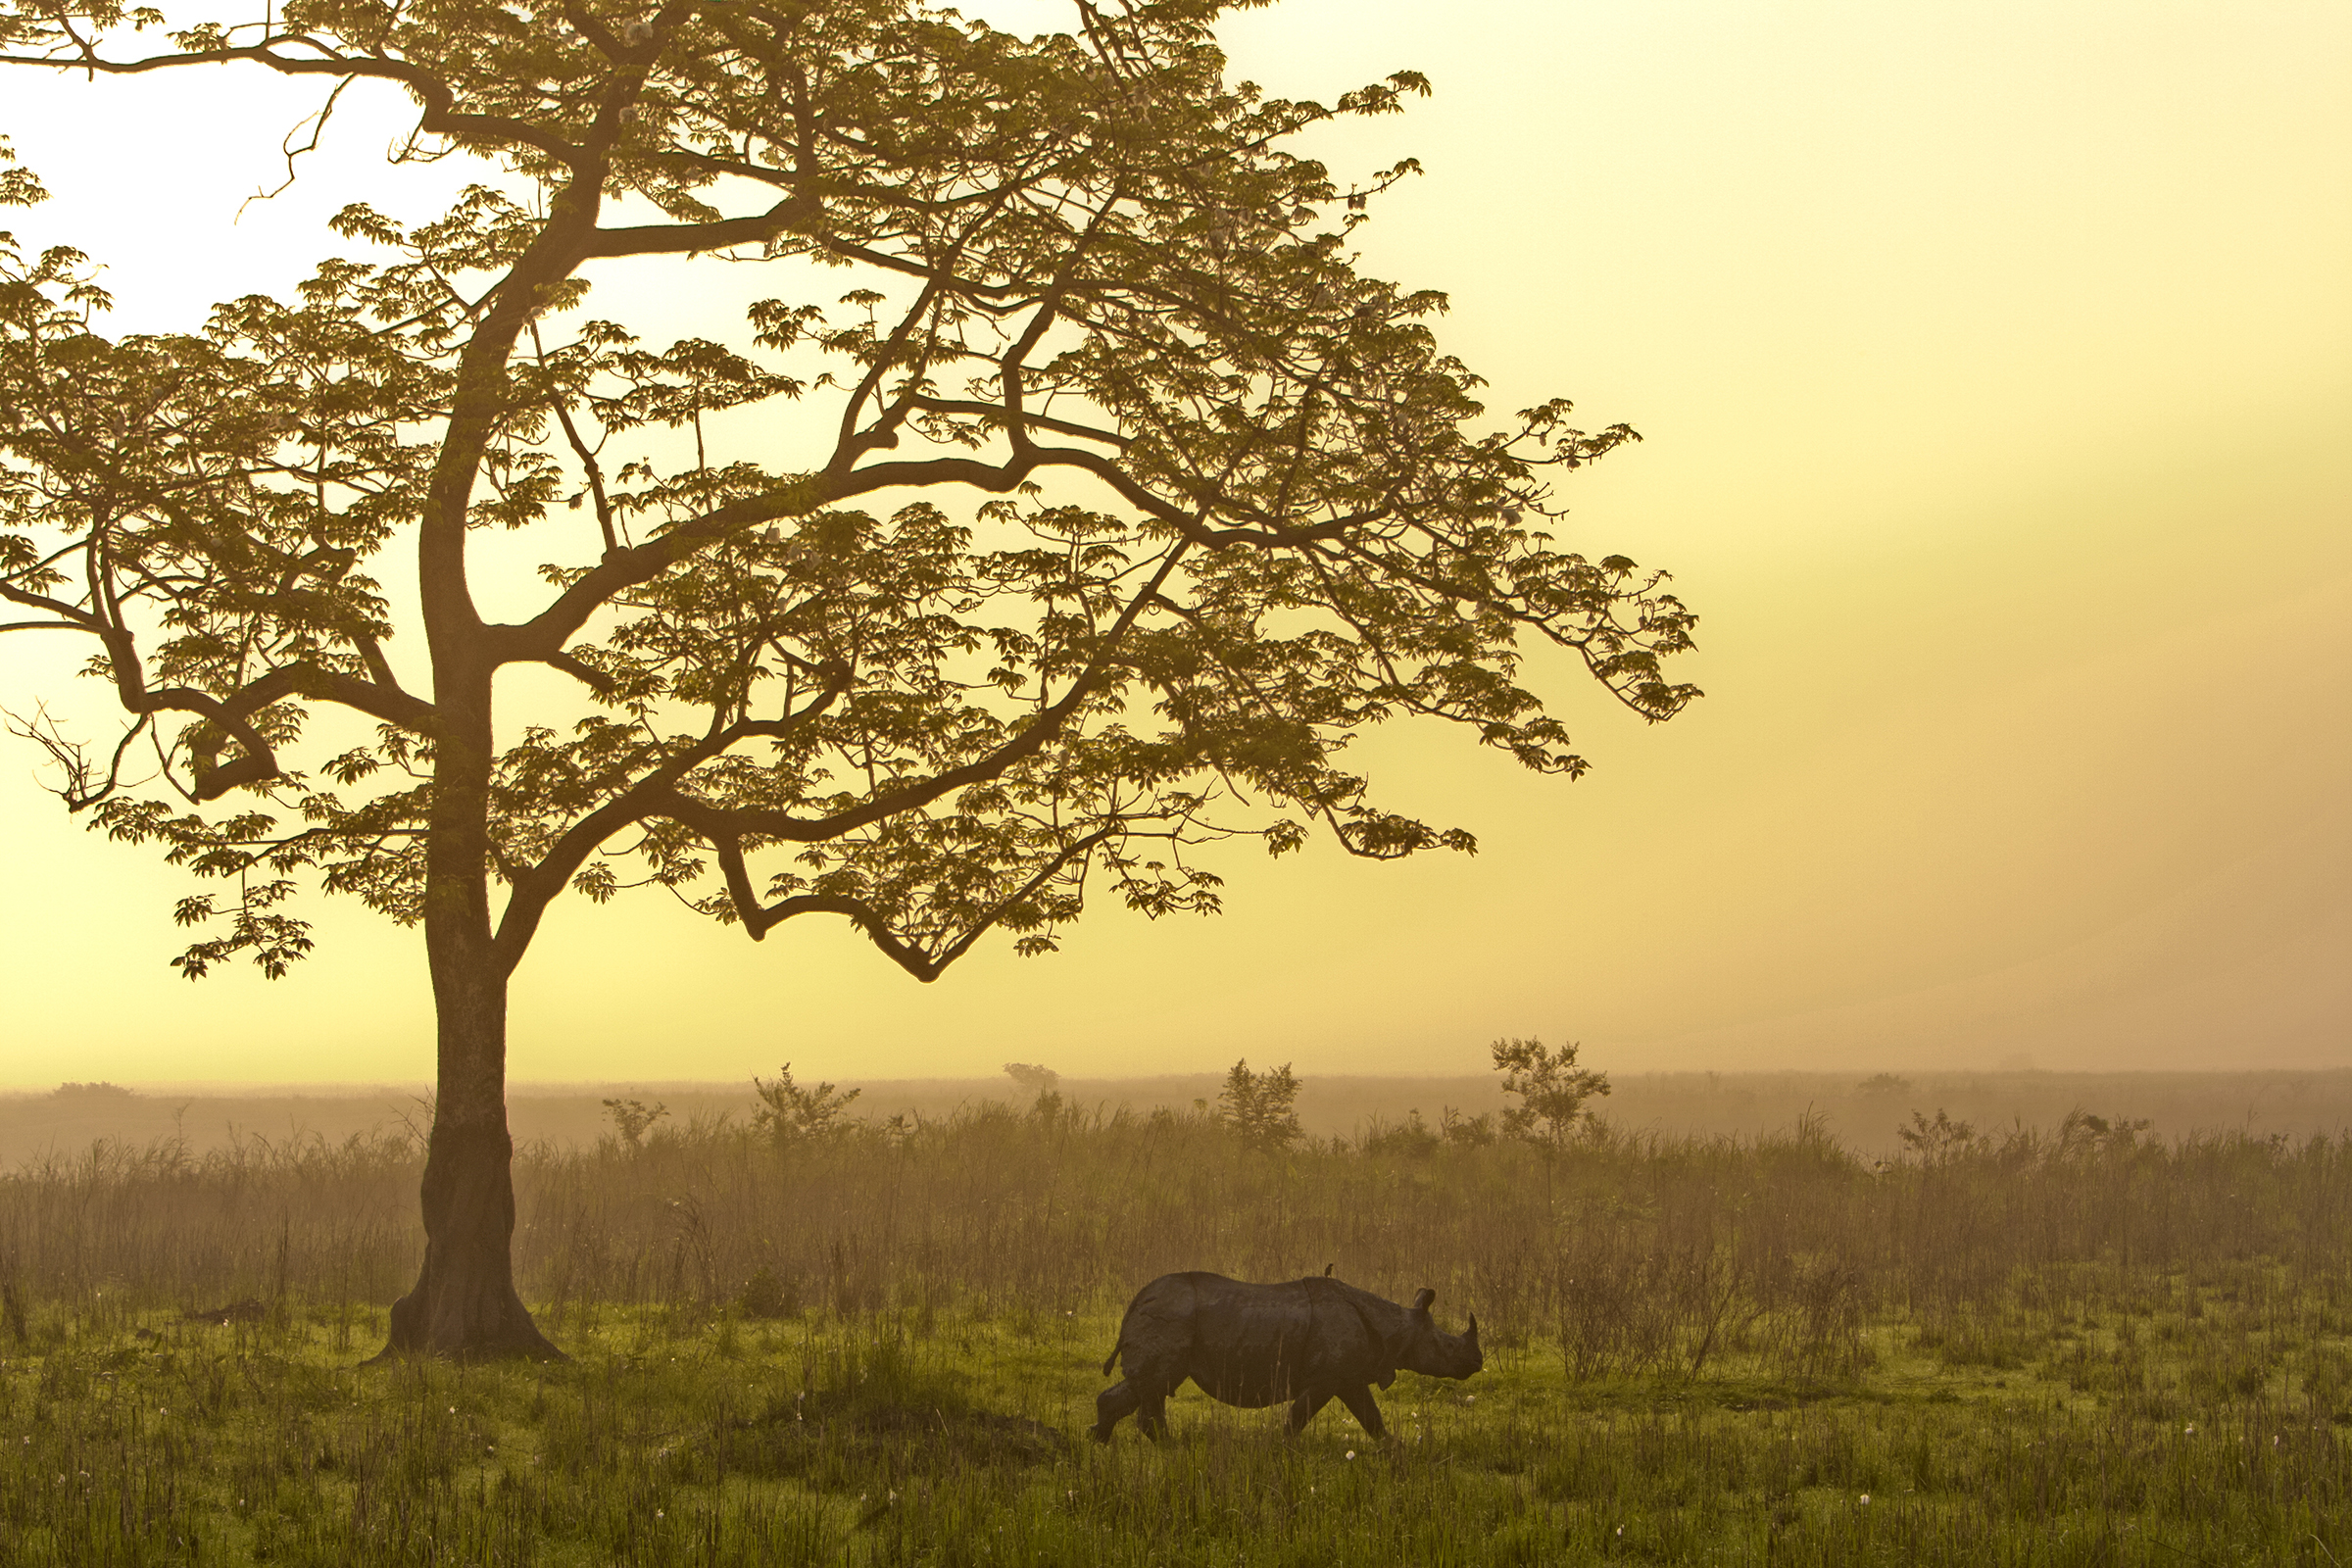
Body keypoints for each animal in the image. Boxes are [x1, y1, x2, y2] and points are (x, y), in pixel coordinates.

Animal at [1091, 1270, 1482, 1442]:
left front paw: (1395, 1451)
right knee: (1156, 1382)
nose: (1477, 1363)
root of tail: (1136, 1301)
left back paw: (1101, 1442)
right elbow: (1298, 1417)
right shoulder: (1329, 1377)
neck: (1396, 1326)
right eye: (1448, 1347)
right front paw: (1281, 1450)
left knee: (1148, 1387)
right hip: (1170, 1318)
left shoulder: (1347, 1376)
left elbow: (1373, 1419)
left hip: (1168, 1318)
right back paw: (1170, 1450)